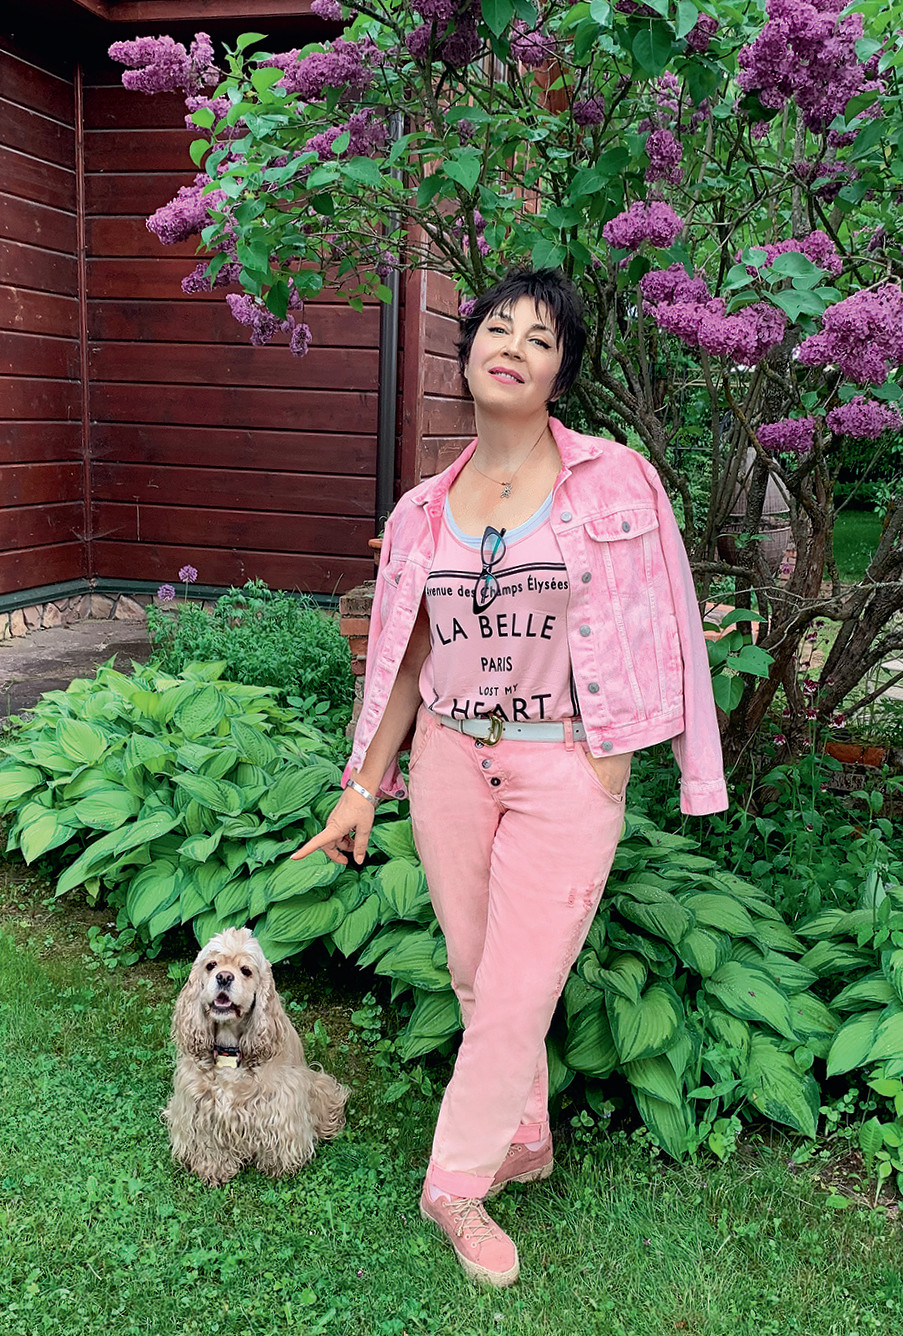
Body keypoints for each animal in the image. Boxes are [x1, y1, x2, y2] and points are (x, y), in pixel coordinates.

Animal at [164, 927, 348, 1186]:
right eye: (211, 965)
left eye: (246, 971)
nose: (224, 977)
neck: (229, 1047)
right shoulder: (198, 1103)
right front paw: (213, 1169)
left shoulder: (279, 1102)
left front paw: (277, 1167)